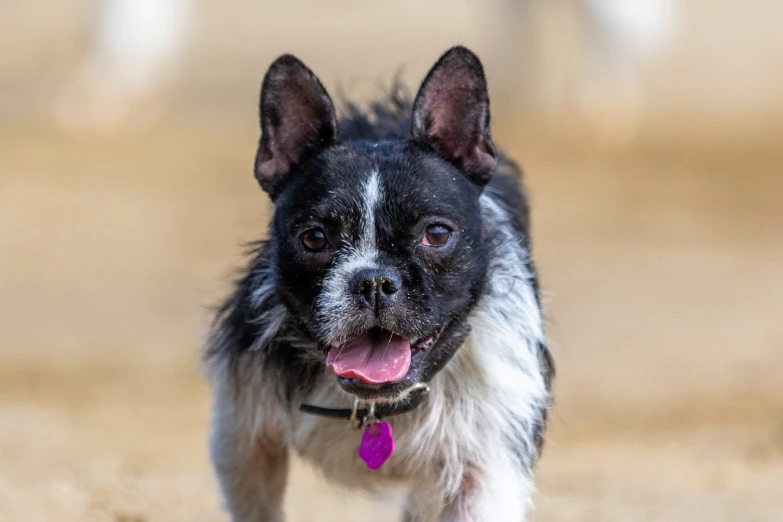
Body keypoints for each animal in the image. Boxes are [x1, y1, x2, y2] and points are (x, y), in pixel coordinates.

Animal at [205, 45, 556, 520]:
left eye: (437, 234)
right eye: (314, 238)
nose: (373, 281)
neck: (376, 407)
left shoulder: (485, 470)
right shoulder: (244, 441)